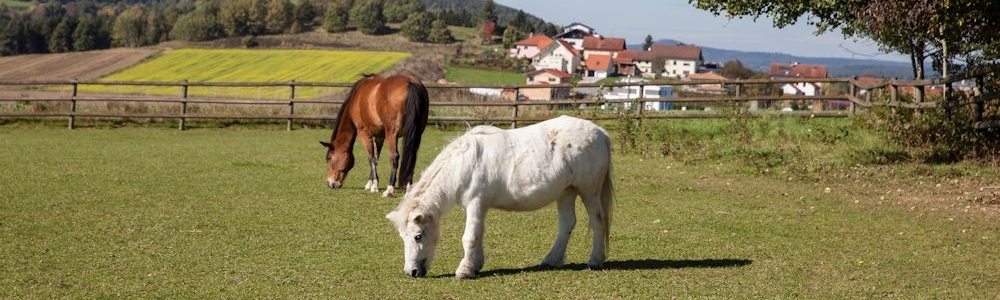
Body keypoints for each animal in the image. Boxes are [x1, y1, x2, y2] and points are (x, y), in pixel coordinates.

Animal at [386, 115, 612, 278]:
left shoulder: (476, 203)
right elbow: (478, 234)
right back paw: (551, 260)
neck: (463, 165)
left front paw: (464, 270)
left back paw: (595, 260)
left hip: (589, 191)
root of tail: (600, 132)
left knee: (597, 221)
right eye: (403, 237)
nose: (412, 272)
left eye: (418, 236)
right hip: (566, 191)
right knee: (567, 224)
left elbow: (469, 237)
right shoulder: (478, 207)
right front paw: (475, 265)